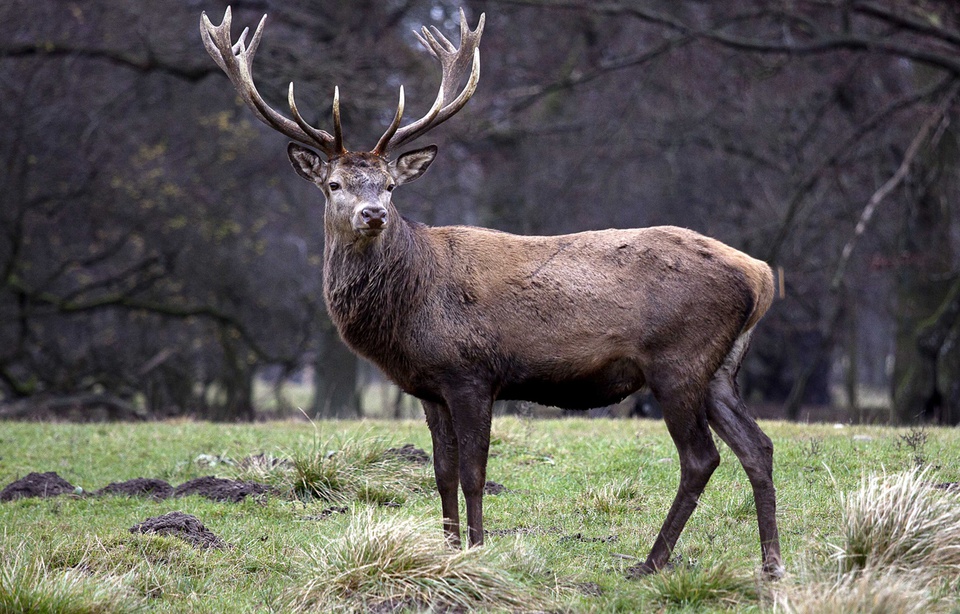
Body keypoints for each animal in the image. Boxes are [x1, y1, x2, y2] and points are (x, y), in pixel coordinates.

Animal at [200, 7, 784, 579]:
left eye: (390, 185)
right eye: (335, 185)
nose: (373, 214)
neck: (410, 305)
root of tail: (761, 275)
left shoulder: (472, 372)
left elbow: (474, 473)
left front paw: (477, 553)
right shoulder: (429, 385)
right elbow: (441, 473)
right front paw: (446, 551)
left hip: (677, 358)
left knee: (701, 457)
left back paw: (651, 562)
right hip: (719, 367)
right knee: (757, 445)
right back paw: (770, 563)